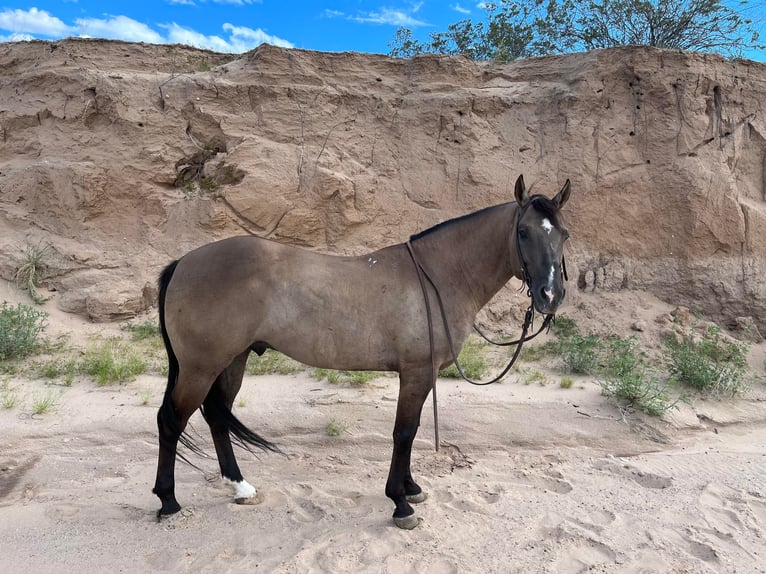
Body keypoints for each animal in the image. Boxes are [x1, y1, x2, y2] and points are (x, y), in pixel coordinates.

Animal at [154, 174, 568, 532]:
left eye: (563, 234)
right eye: (523, 232)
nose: (550, 295)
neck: (439, 276)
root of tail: (183, 263)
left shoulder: (424, 374)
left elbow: (413, 430)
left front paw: (411, 489)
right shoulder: (416, 372)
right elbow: (404, 432)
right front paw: (400, 503)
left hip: (231, 362)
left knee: (216, 417)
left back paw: (240, 487)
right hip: (200, 368)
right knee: (171, 421)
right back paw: (168, 500)